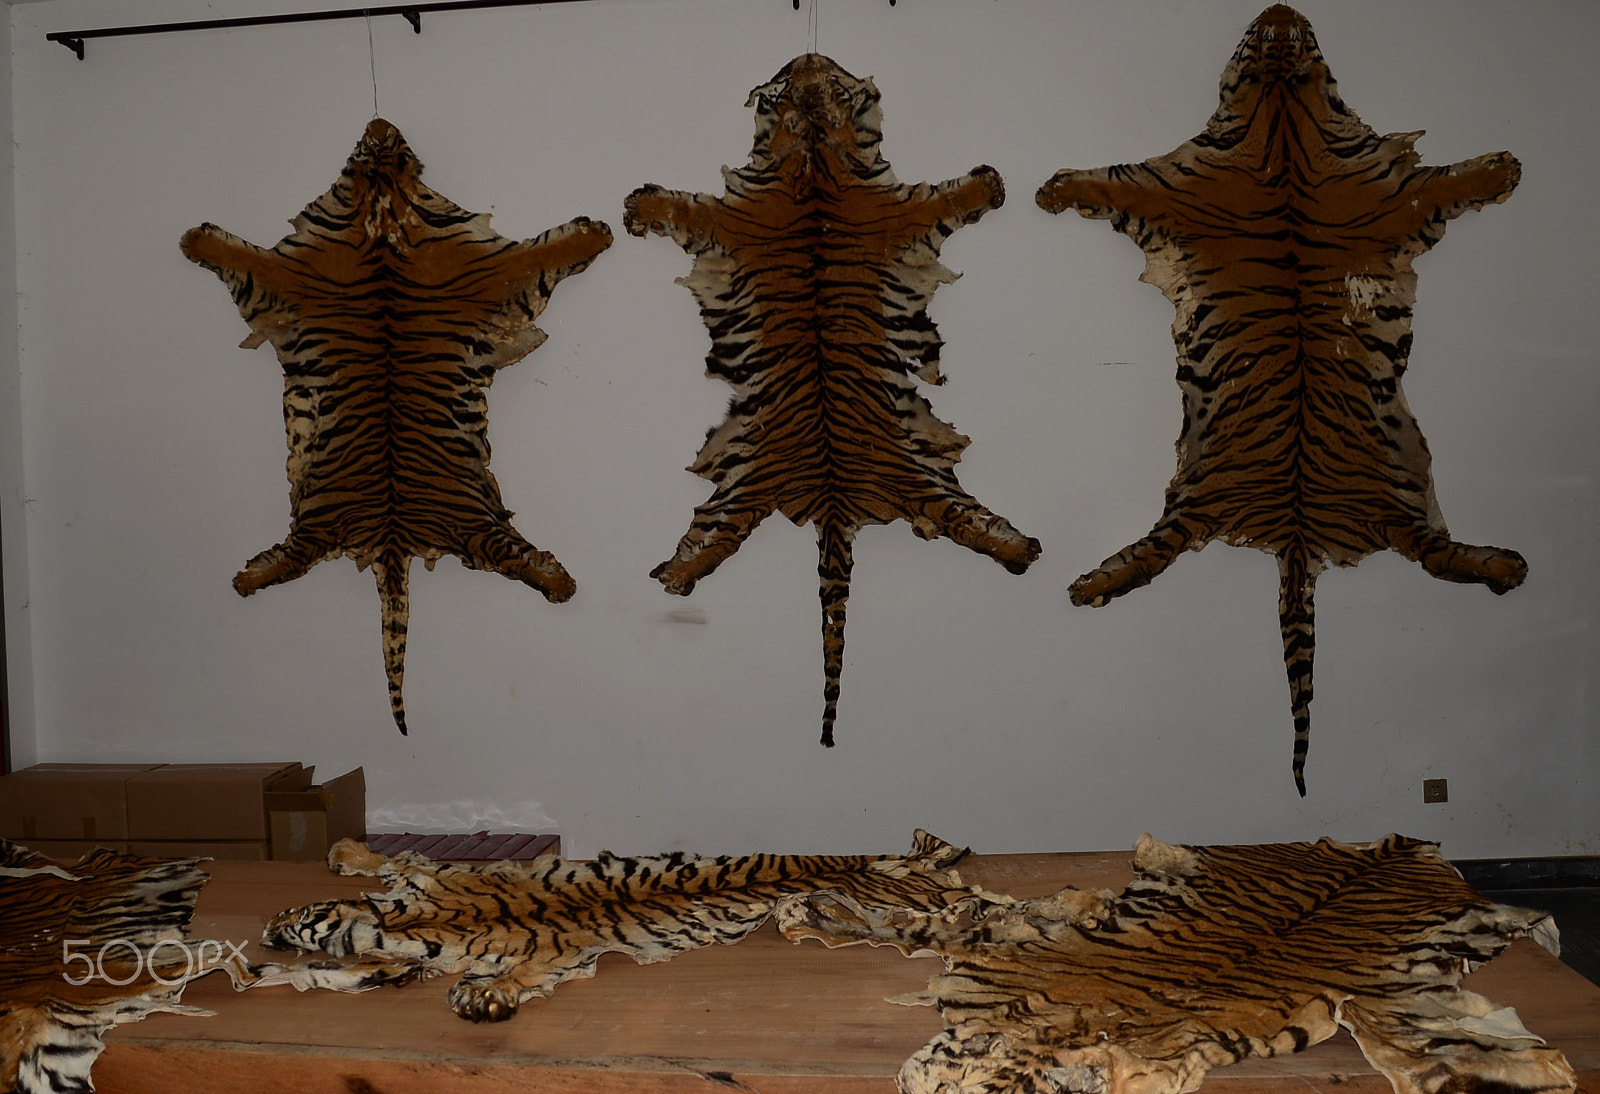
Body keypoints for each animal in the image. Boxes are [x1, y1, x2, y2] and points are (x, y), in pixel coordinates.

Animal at [182, 118, 611, 735]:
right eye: (367, 154)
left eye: (392, 152)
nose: (379, 125)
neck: (382, 215)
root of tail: (389, 542)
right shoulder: (298, 272)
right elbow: (239, 252)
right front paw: (193, 239)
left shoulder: (298, 272)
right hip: (434, 524)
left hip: (386, 524)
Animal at [623, 54, 1039, 748]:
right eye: (790, 83)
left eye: (832, 79)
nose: (808, 58)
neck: (815, 163)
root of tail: (834, 508)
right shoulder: (734, 218)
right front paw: (636, 204)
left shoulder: (892, 211)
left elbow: (952, 194)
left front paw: (990, 182)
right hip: (761, 492)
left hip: (866, 483)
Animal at [1035, 5, 1525, 794]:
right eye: (1260, 39)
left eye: (1289, 39)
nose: (1280, 11)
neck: (1283, 117)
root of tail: (1296, 541)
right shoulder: (1172, 184)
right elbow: (1108, 177)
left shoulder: (1387, 190)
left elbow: (1452, 177)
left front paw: (1503, 166)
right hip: (1223, 499)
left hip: (1368, 499)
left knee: (1436, 554)